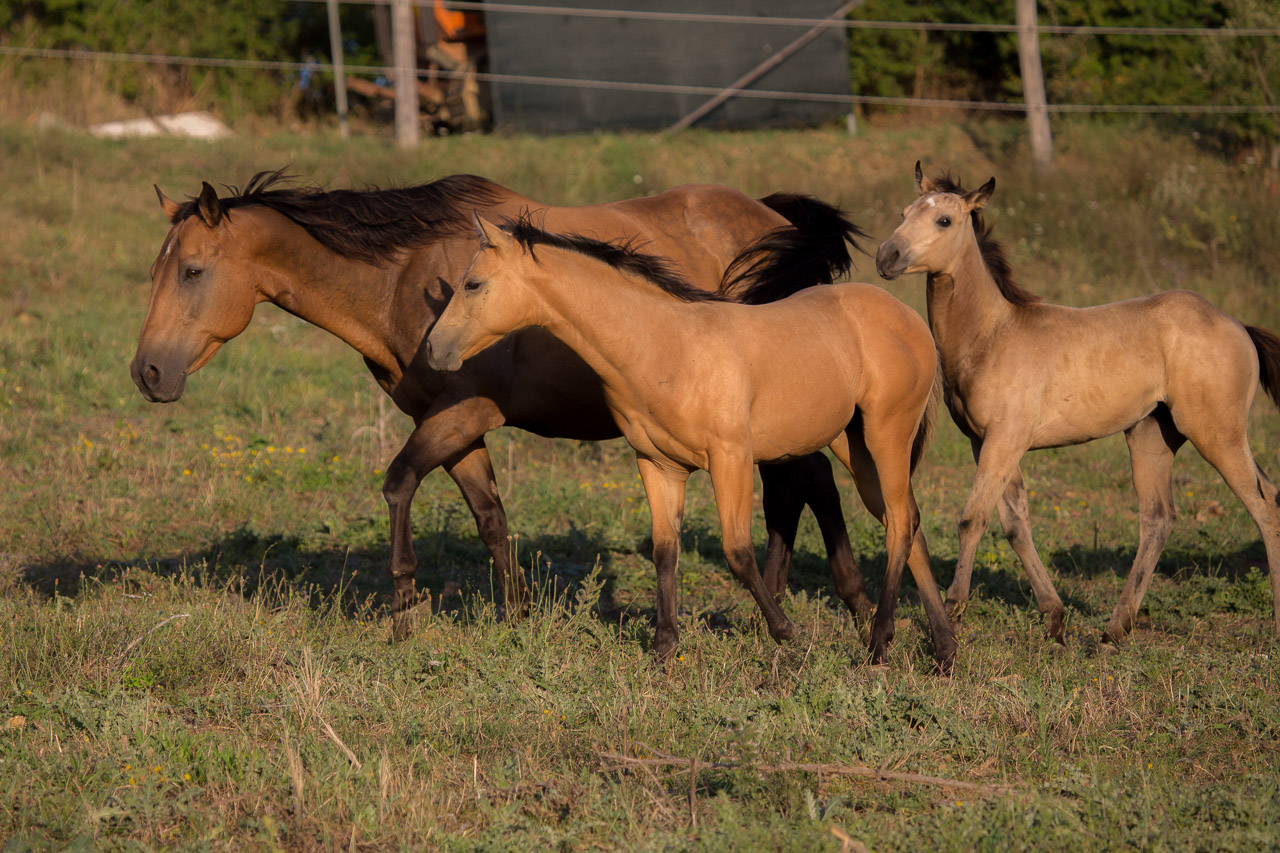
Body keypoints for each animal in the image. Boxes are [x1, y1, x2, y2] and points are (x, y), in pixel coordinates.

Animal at [132, 171, 877, 638]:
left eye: (192, 271)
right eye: (156, 269)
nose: (148, 371)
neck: (405, 276)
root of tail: (776, 219)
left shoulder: (464, 412)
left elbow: (398, 483)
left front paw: (404, 607)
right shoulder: (451, 425)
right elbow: (490, 517)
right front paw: (514, 614)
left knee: (811, 485)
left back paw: (847, 605)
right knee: (800, 488)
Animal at [426, 215, 957, 670]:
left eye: (473, 284)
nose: (433, 349)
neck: (665, 349)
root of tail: (908, 318)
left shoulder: (731, 459)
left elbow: (737, 550)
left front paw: (785, 631)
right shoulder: (658, 465)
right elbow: (665, 550)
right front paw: (664, 648)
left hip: (887, 435)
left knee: (898, 526)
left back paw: (880, 643)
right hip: (856, 446)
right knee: (908, 524)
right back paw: (944, 648)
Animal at [875, 162, 1280, 645]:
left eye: (944, 220)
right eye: (903, 212)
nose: (887, 256)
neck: (991, 336)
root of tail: (1235, 324)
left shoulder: (1004, 440)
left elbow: (973, 518)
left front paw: (954, 608)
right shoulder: (987, 443)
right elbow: (1016, 525)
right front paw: (1054, 617)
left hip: (1217, 435)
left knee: (1264, 506)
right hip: (1152, 436)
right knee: (1158, 518)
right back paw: (1115, 628)